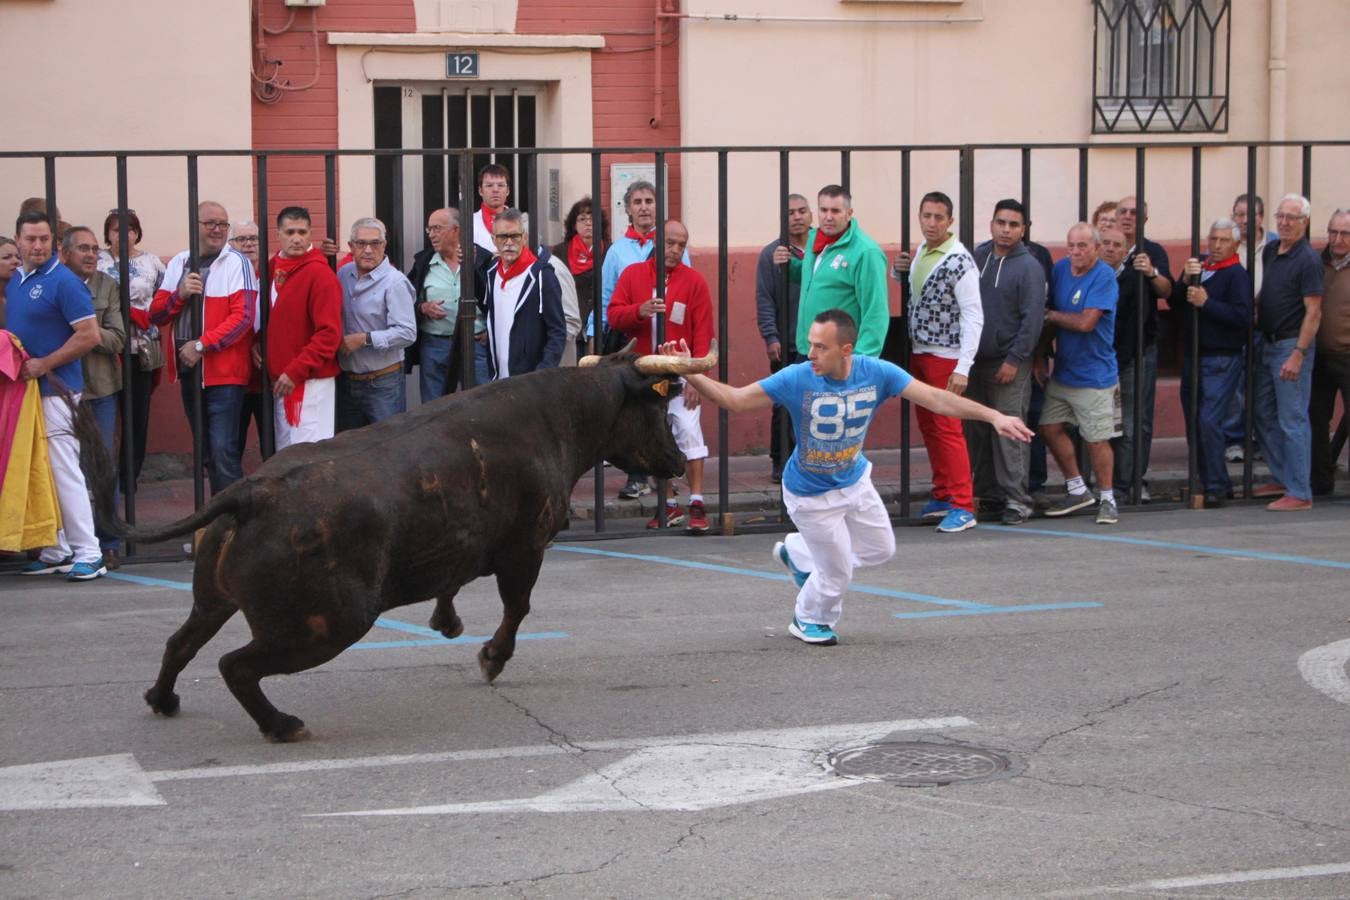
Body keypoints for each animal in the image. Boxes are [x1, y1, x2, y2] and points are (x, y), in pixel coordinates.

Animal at [80, 342, 718, 739]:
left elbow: (454, 579)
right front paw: (490, 657)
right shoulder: (525, 547)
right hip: (329, 624)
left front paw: (448, 622)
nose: (676, 460)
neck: (554, 417)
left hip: (214, 600)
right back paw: (281, 724)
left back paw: (163, 699)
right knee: (234, 665)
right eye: (656, 404)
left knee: (180, 644)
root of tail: (251, 492)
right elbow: (518, 607)